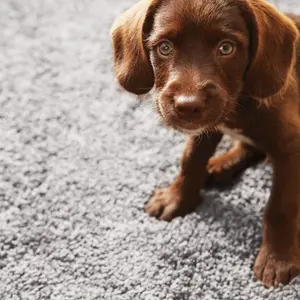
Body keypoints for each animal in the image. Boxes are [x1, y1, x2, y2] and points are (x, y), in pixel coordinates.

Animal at [111, 0, 300, 290]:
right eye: (164, 48)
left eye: (226, 48)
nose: (187, 106)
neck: (239, 102)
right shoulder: (205, 129)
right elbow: (190, 160)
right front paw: (177, 198)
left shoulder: (290, 144)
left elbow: (280, 205)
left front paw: (277, 259)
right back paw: (219, 166)